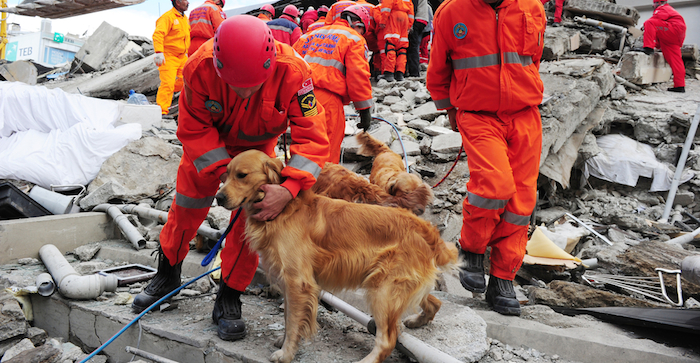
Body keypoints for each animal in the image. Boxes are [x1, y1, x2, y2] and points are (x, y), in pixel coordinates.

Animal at [219, 149, 460, 362]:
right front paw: (285, 341)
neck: (285, 209)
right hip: (399, 286)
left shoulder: (298, 282)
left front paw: (286, 353)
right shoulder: (289, 281)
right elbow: (288, 317)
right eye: (226, 173)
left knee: (387, 340)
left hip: (382, 291)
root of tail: (426, 230)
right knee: (434, 302)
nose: (219, 197)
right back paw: (417, 321)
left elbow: (294, 321)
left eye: (242, 175)